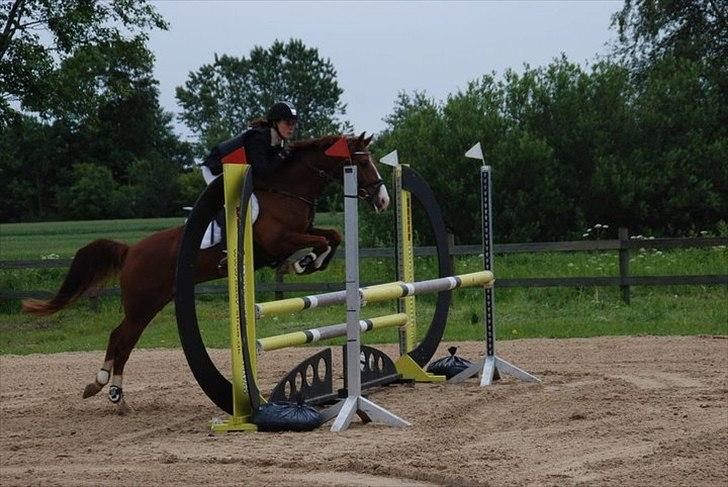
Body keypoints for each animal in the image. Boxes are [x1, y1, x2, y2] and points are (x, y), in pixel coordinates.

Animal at [21, 132, 389, 414]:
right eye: (362, 162)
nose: (384, 199)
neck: (287, 189)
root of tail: (131, 251)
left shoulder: (301, 232)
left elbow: (332, 236)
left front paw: (309, 262)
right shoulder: (279, 239)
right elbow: (320, 240)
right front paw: (303, 261)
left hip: (151, 303)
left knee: (121, 337)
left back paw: (111, 392)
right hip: (142, 304)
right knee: (121, 337)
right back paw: (106, 388)